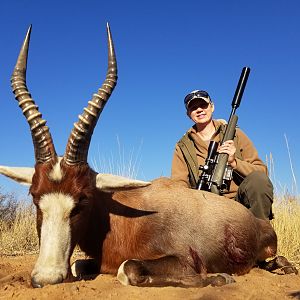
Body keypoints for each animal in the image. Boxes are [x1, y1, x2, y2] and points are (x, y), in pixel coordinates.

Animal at [0, 25, 296, 288]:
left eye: (83, 198)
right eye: (34, 196)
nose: (45, 278)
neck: (126, 218)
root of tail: (257, 222)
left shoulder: (180, 259)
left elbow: (127, 268)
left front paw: (220, 278)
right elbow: (79, 265)